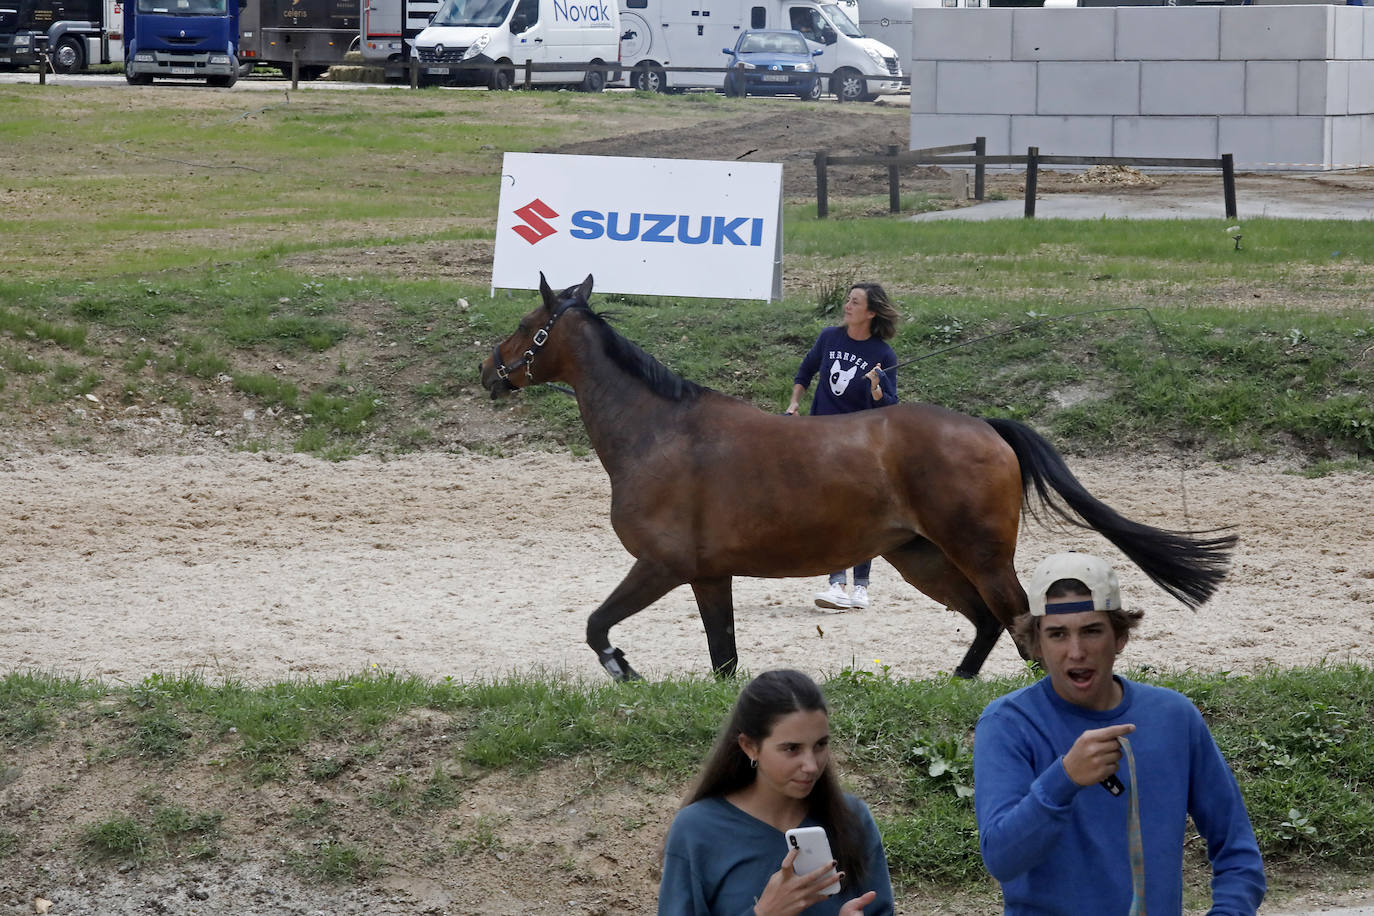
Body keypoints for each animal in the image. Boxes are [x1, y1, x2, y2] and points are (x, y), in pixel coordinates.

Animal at [475, 271, 1236, 681]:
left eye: (527, 323)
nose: (487, 370)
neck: (658, 431)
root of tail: (989, 428)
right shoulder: (709, 575)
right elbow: (724, 657)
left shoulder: (661, 566)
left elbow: (596, 626)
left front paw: (623, 667)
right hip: (921, 557)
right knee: (988, 622)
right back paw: (957, 680)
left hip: (977, 552)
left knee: (1019, 620)